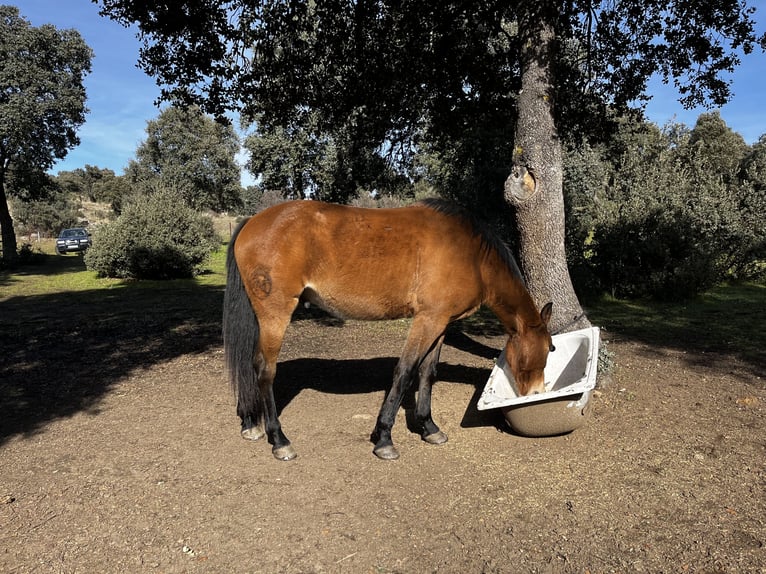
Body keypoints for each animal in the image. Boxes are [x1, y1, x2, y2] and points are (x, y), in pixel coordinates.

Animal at [222, 200, 552, 462]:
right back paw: (279, 440)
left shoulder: (441, 323)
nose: (537, 392)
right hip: (276, 314)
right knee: (265, 370)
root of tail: (253, 221)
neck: (470, 252)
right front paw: (384, 439)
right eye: (548, 349)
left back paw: (250, 423)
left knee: (249, 365)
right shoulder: (427, 320)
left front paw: (428, 427)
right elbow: (404, 372)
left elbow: (427, 374)